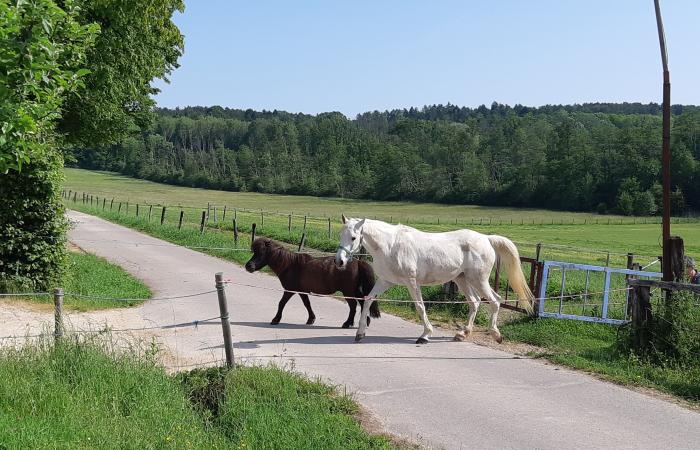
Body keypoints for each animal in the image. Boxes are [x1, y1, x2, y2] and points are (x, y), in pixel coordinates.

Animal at [243, 239, 380, 326]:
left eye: (261, 253)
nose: (248, 266)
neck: (290, 265)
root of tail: (358, 262)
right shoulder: (301, 291)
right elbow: (307, 304)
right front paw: (311, 319)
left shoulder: (289, 291)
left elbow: (281, 303)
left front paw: (276, 319)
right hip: (354, 291)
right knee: (362, 303)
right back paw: (364, 322)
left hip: (348, 292)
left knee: (353, 306)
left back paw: (348, 323)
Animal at [336, 216, 532, 342]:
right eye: (340, 236)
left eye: (353, 237)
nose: (339, 261)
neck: (390, 245)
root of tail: (486, 238)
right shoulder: (385, 281)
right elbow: (368, 300)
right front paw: (360, 334)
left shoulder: (411, 282)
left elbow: (420, 306)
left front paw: (425, 335)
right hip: (462, 279)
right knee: (475, 302)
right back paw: (462, 334)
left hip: (479, 280)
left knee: (495, 301)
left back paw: (496, 335)